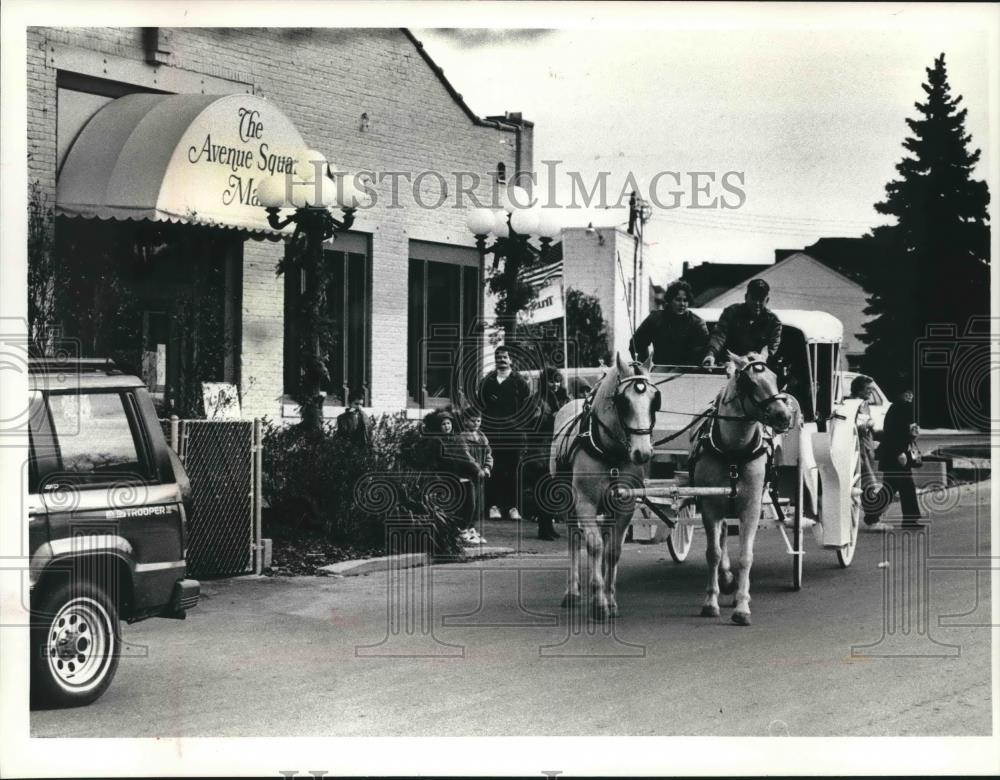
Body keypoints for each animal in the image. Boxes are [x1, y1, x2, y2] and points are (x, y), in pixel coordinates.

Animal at [552, 350, 660, 620]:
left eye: (654, 400)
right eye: (624, 402)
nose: (642, 453)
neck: (611, 453)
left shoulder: (625, 506)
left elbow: (612, 551)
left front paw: (609, 600)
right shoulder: (585, 504)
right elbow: (594, 545)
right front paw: (599, 601)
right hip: (569, 506)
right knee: (575, 540)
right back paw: (574, 592)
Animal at [692, 350, 792, 624]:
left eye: (777, 377)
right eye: (750, 382)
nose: (784, 416)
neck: (734, 452)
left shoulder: (751, 507)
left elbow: (746, 557)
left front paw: (742, 606)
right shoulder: (710, 506)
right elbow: (713, 553)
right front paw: (710, 601)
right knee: (724, 534)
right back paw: (726, 579)